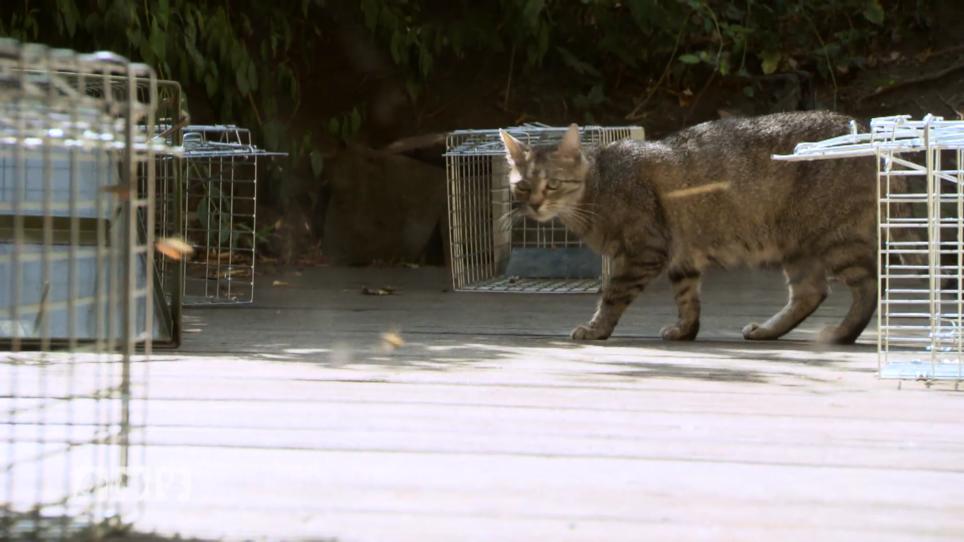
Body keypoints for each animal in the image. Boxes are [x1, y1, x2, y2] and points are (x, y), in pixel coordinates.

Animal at [500, 112, 884, 346]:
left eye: (551, 185)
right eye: (522, 187)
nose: (534, 205)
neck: (599, 186)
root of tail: (864, 128)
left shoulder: (644, 250)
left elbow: (612, 296)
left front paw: (596, 329)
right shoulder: (681, 258)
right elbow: (687, 300)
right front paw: (685, 331)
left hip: (833, 237)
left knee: (868, 286)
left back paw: (841, 333)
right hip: (796, 244)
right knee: (811, 292)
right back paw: (766, 331)